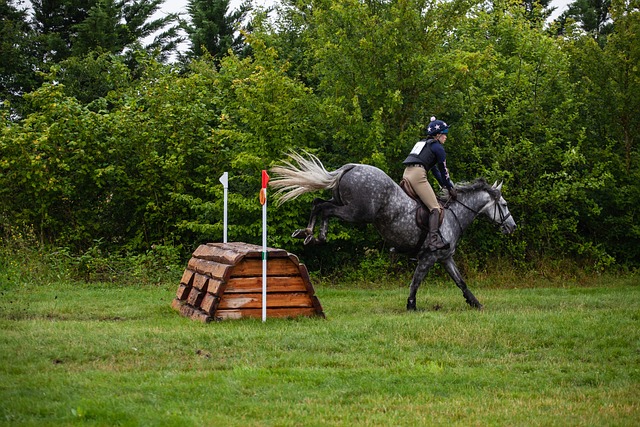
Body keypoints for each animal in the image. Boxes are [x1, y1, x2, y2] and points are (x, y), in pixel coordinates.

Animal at [268, 152, 516, 310]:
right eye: (504, 205)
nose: (512, 226)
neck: (454, 215)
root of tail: (351, 166)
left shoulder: (445, 258)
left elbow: (461, 281)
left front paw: (475, 303)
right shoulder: (429, 256)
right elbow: (416, 281)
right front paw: (411, 306)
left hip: (343, 202)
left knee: (319, 203)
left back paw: (309, 234)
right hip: (357, 212)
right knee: (324, 208)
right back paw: (314, 235)